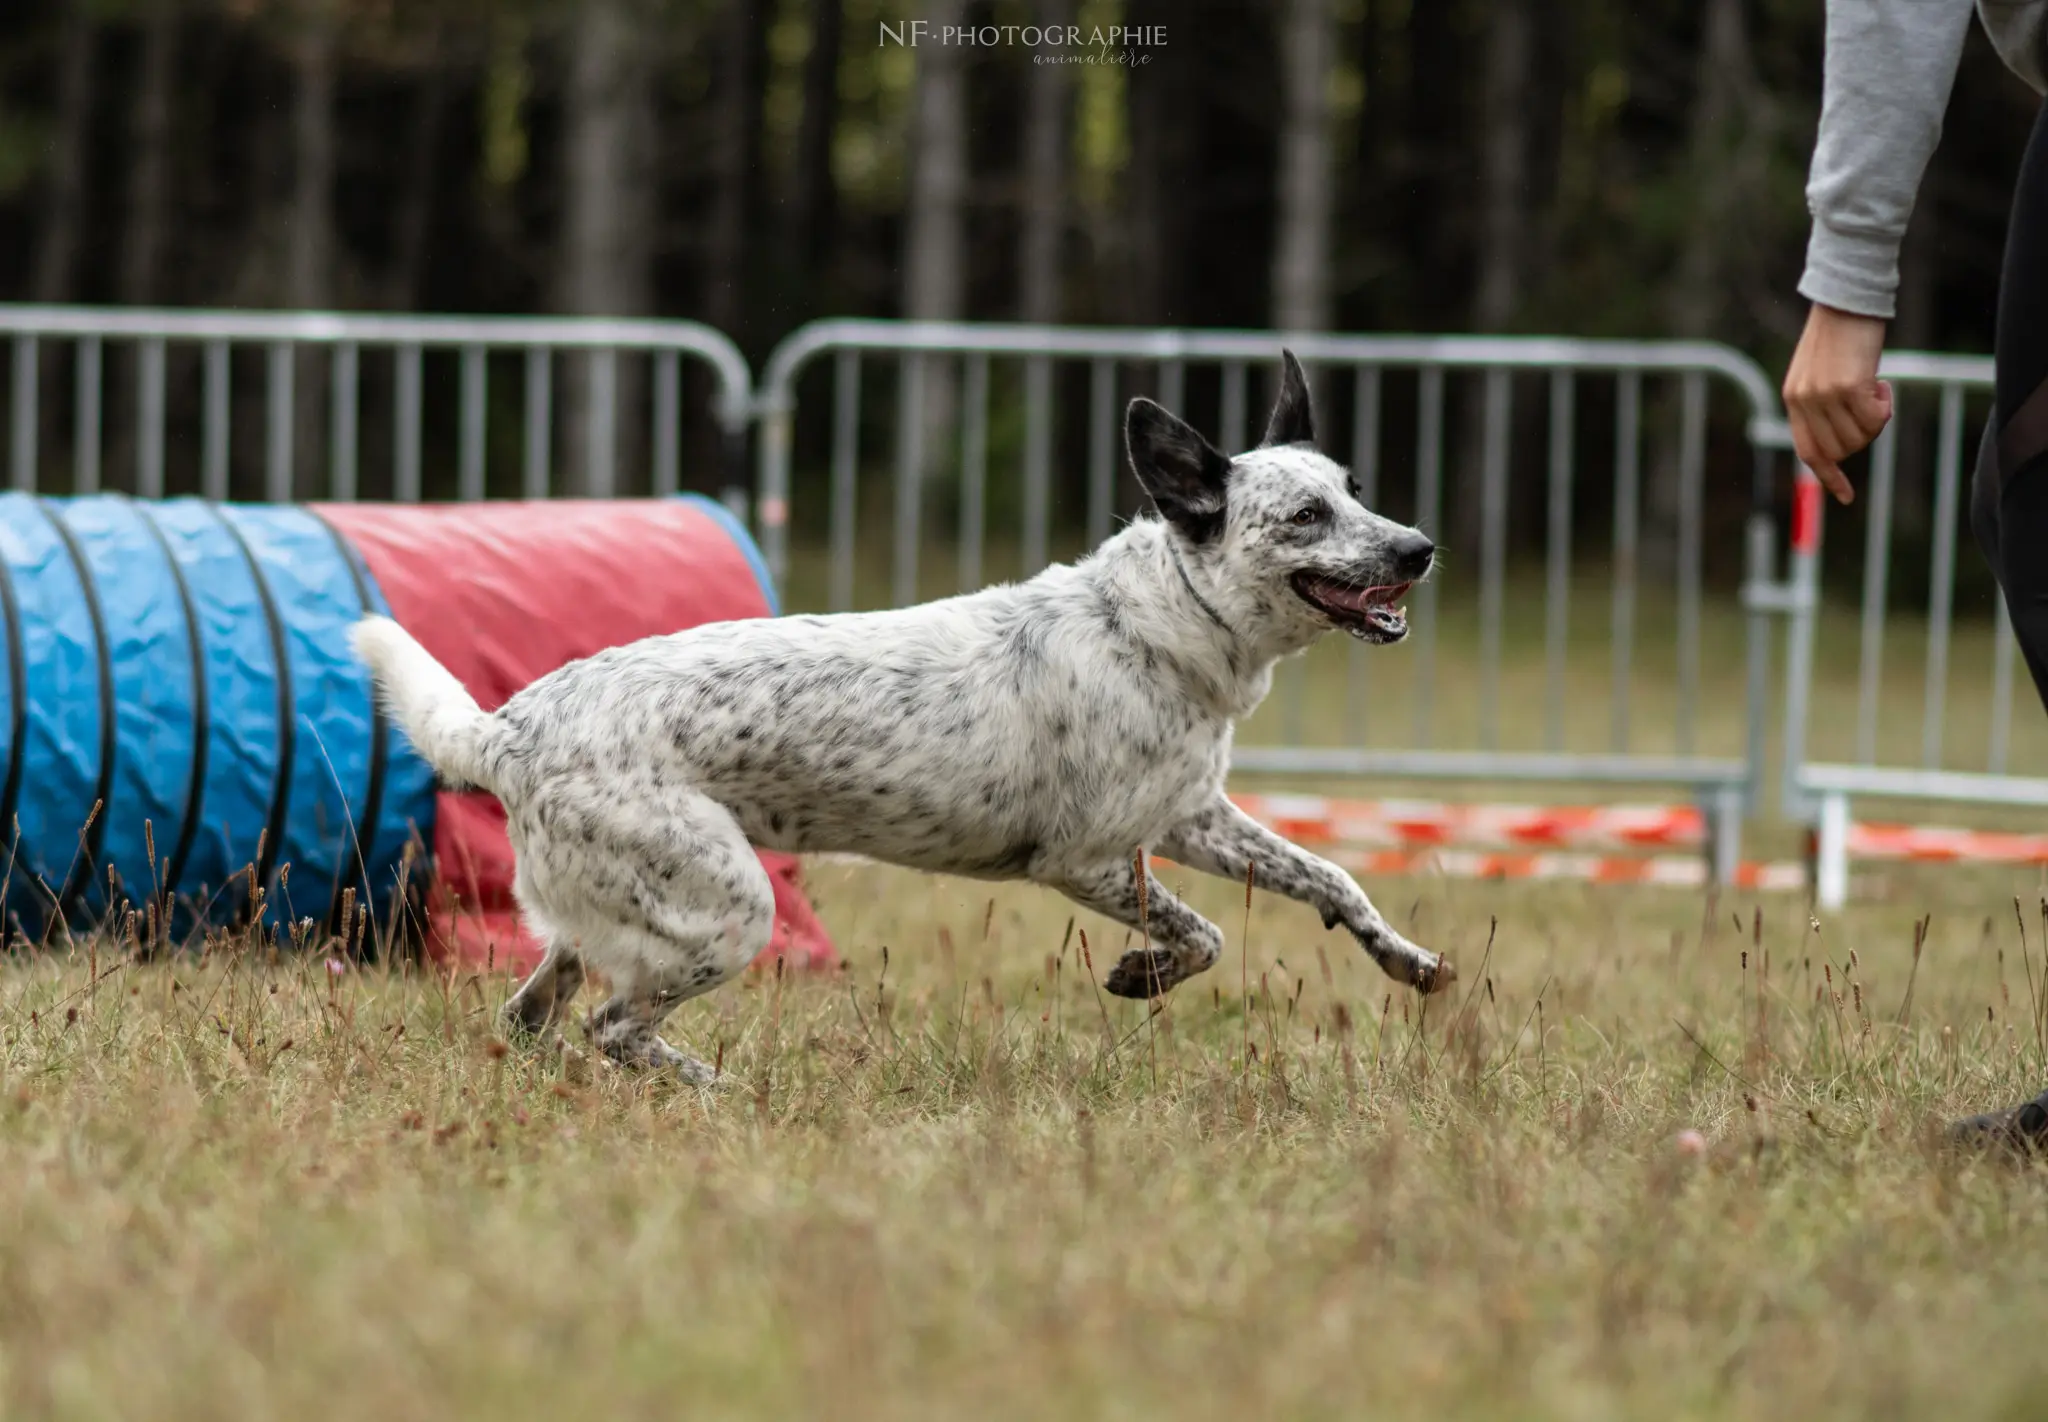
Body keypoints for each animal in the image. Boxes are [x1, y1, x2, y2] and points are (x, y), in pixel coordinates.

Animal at [352, 350, 1449, 1090]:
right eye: (1306, 516)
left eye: (1356, 491)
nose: (1420, 548)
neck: (1164, 621)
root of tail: (510, 729)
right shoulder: (1086, 860)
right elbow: (1204, 935)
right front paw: (1144, 973)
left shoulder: (1190, 816)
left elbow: (1334, 878)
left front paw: (1412, 961)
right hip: (729, 907)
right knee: (612, 1028)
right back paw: (722, 1091)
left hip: (608, 921)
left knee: (537, 1014)